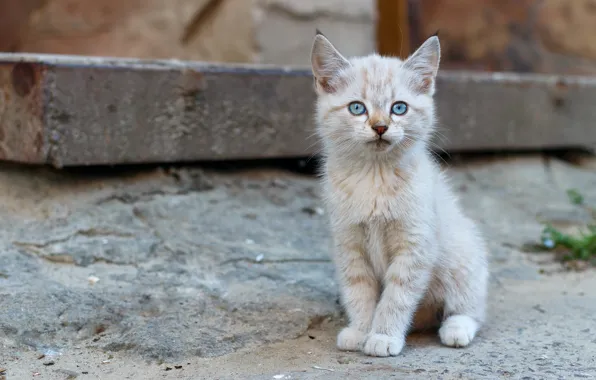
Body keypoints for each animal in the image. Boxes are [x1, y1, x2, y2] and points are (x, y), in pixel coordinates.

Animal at [310, 31, 486, 356]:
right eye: (357, 108)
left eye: (399, 108)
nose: (380, 127)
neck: (374, 176)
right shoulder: (349, 245)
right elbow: (359, 292)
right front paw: (360, 331)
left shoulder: (415, 246)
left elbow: (396, 296)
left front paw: (383, 336)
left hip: (463, 257)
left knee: (470, 308)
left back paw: (456, 330)